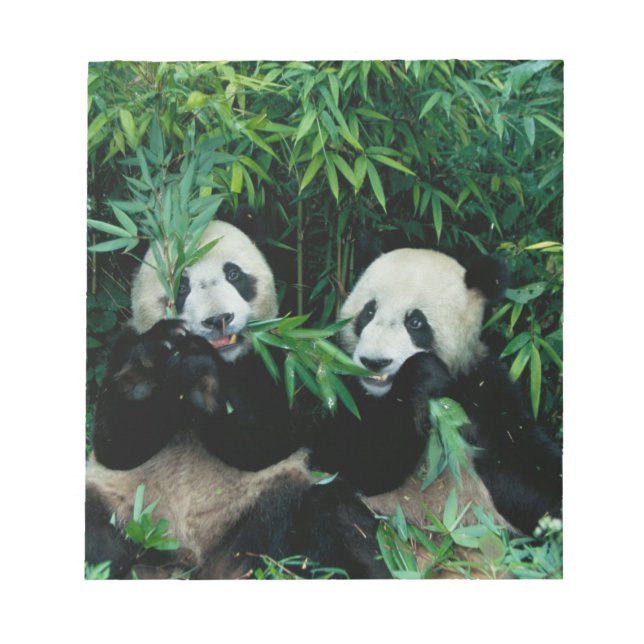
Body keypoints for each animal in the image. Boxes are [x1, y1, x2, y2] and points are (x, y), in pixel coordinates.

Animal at [85, 218, 388, 579]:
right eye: (182, 285)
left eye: (233, 274)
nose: (218, 319)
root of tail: (194, 559)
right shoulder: (125, 345)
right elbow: (115, 444)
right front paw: (149, 367)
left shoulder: (281, 359)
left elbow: (269, 439)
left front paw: (203, 374)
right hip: (126, 509)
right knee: (96, 531)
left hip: (269, 503)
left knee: (332, 514)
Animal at [308, 233, 562, 542]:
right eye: (368, 312)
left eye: (415, 322)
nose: (374, 362)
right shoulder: (337, 383)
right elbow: (349, 457)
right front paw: (420, 374)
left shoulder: (482, 391)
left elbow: (524, 466)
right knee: (331, 510)